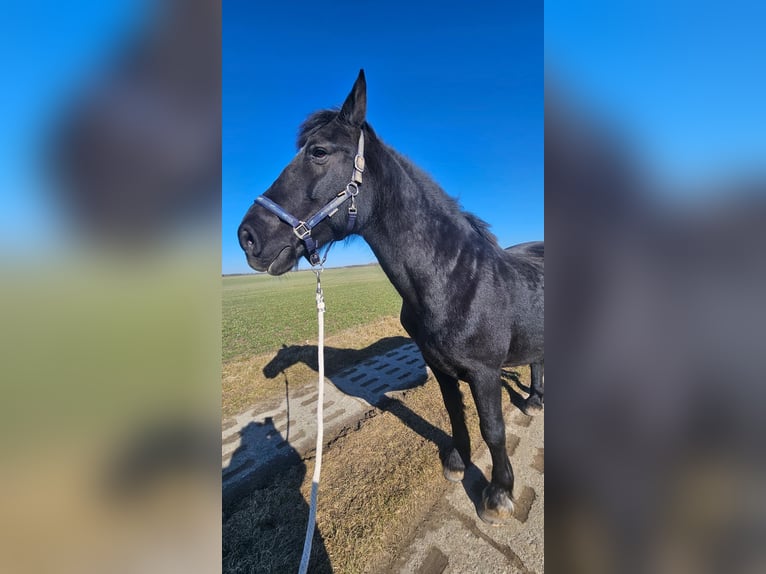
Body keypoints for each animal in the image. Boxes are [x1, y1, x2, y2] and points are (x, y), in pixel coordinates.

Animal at [237, 70, 544, 524]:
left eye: (319, 151)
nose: (247, 236)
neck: (455, 279)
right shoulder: (440, 367)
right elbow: (455, 414)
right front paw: (458, 463)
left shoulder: (484, 373)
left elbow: (493, 429)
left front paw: (499, 494)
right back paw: (534, 401)